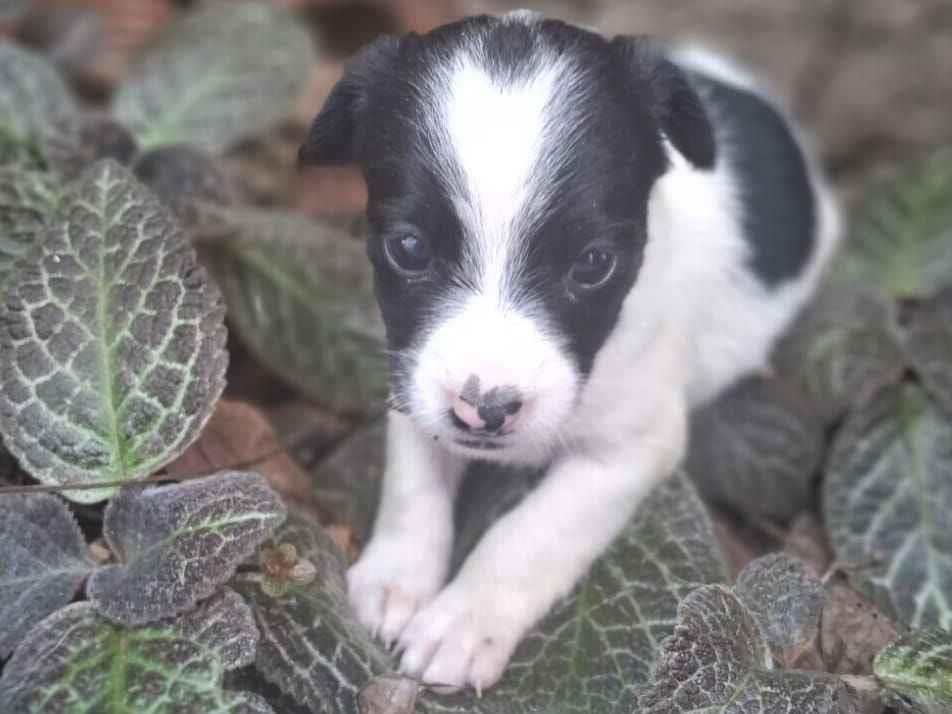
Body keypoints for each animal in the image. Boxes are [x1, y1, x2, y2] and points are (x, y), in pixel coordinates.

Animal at [300, 10, 840, 694]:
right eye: (409, 248)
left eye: (593, 263)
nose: (485, 410)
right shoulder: (413, 378)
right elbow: (412, 482)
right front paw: (396, 578)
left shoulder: (632, 449)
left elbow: (530, 532)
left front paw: (462, 621)